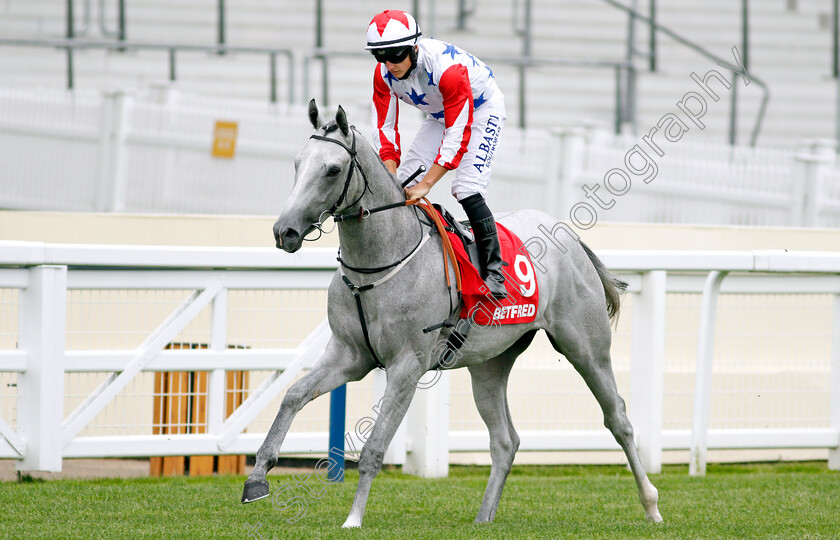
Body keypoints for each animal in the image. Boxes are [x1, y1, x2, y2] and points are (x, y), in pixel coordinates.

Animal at [241, 100, 664, 528]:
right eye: (297, 163)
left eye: (331, 169)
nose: (284, 231)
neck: (377, 266)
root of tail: (570, 237)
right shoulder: (349, 355)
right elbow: (293, 395)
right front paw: (258, 477)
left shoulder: (407, 367)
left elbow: (375, 447)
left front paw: (354, 518)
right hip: (490, 363)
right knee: (505, 441)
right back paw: (484, 518)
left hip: (586, 349)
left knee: (619, 420)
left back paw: (651, 504)